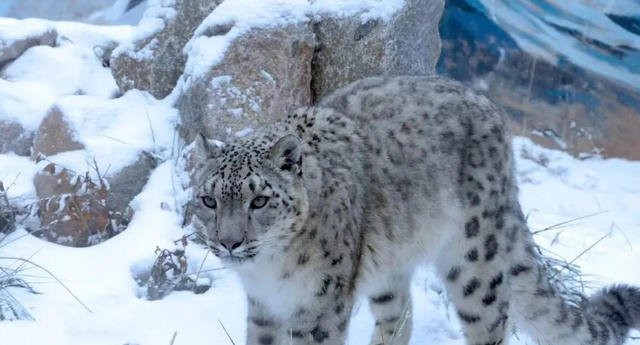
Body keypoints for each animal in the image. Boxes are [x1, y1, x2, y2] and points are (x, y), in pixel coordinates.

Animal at [191, 76, 640, 344]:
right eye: (208, 199)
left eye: (260, 200)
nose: (228, 242)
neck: (268, 271)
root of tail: (492, 111)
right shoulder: (263, 307)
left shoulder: (318, 308)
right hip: (391, 264)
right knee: (401, 316)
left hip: (474, 259)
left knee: (493, 319)